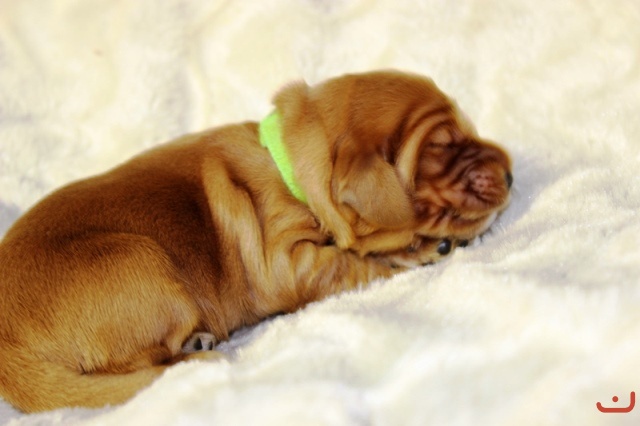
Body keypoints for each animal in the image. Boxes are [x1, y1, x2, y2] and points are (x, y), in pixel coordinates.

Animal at [0, 70, 512, 412]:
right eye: (441, 150)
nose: (510, 173)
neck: (290, 167)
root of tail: (9, 350)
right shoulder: (284, 264)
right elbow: (346, 262)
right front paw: (415, 252)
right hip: (143, 262)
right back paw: (196, 350)